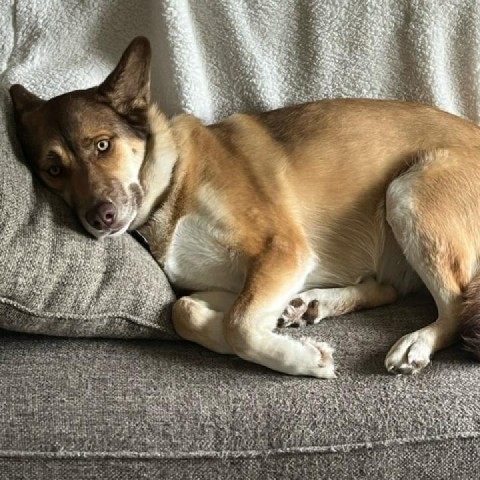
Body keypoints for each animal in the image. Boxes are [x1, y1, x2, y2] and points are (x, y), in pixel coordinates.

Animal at [9, 35, 480, 376]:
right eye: (53, 170)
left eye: (103, 145)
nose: (100, 217)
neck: (172, 180)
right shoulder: (232, 281)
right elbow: (184, 310)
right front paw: (231, 331)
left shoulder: (282, 250)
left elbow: (239, 325)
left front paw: (304, 359)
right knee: (388, 289)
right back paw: (313, 304)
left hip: (407, 193)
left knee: (455, 308)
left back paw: (417, 341)